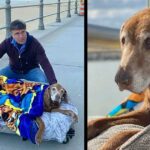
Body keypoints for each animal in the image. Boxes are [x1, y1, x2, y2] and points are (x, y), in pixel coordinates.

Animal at [88, 8, 150, 150]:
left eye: (149, 41)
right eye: (123, 40)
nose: (120, 80)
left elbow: (124, 133)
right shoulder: (146, 112)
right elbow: (99, 121)